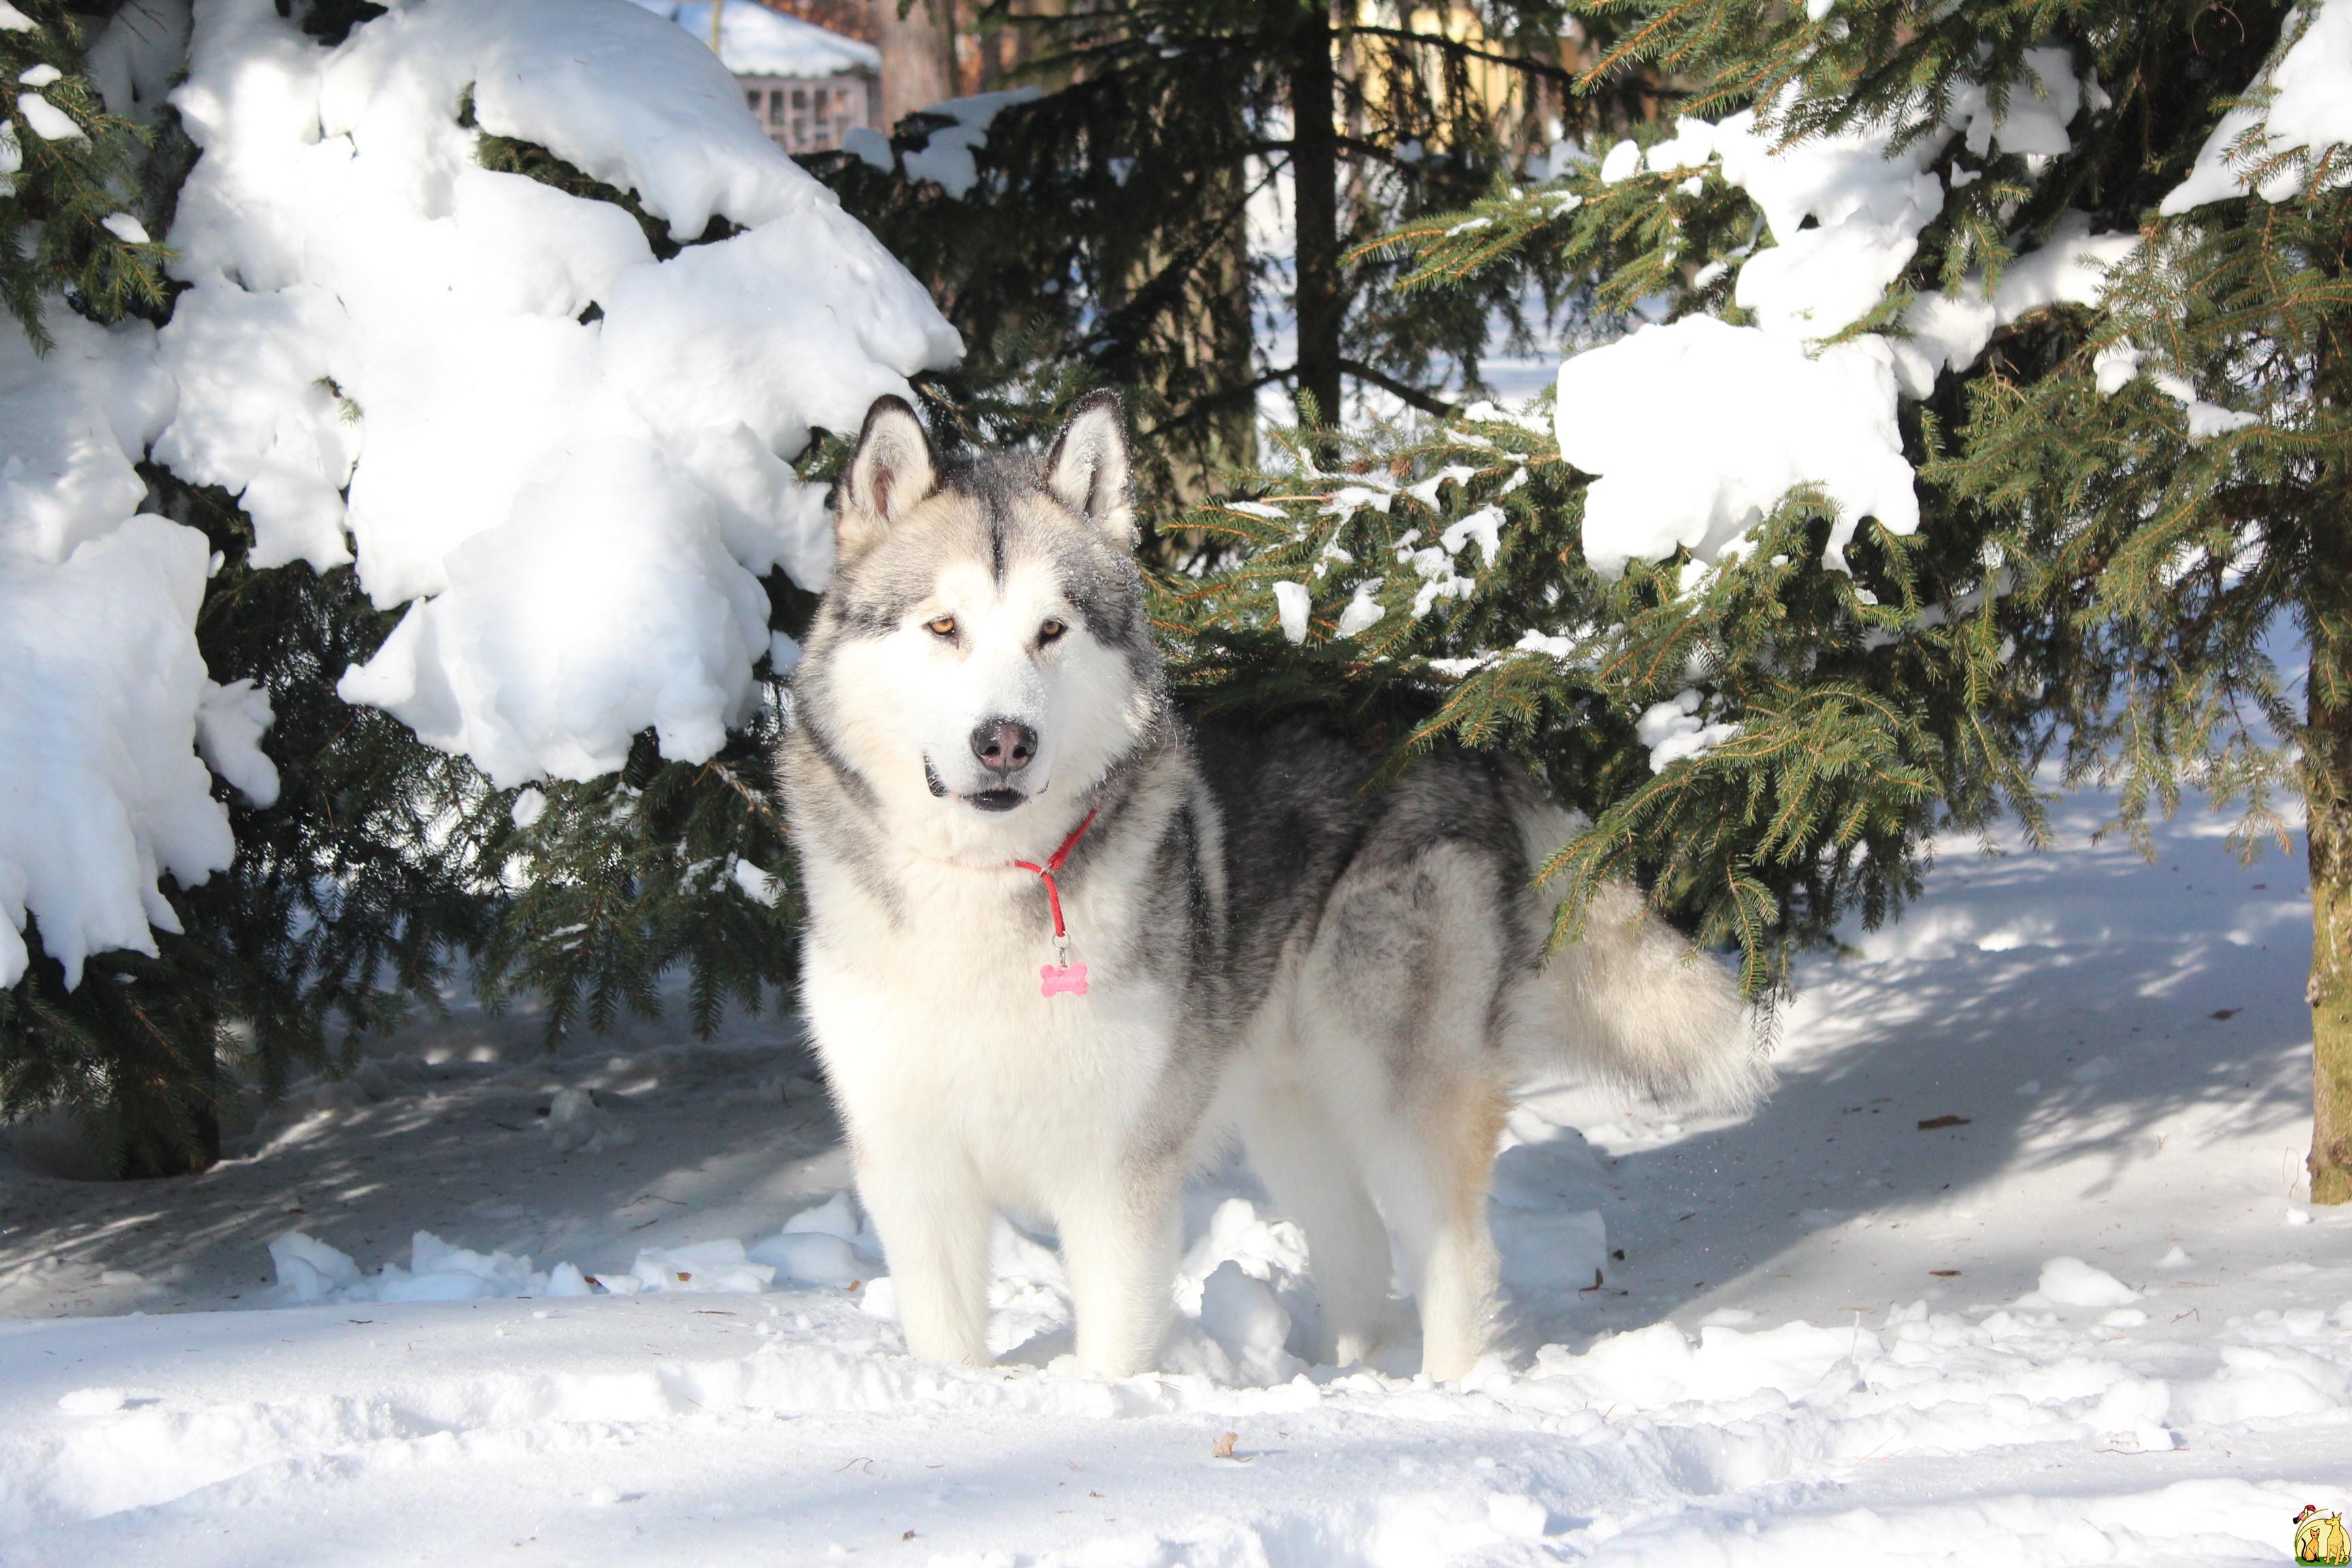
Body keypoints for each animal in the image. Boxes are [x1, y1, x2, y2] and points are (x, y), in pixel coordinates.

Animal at [785, 395, 1768, 1382]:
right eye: (943, 628)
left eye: (1052, 631)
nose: (1005, 741)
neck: (987, 884)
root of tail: (1453, 721)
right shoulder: (914, 1174)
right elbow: (946, 1348)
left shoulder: (1115, 1176)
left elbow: (1111, 1356)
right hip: (1289, 1106)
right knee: (1359, 1247)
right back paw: (1342, 1373)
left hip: (1397, 1085)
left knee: (1454, 1255)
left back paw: (1441, 1390)